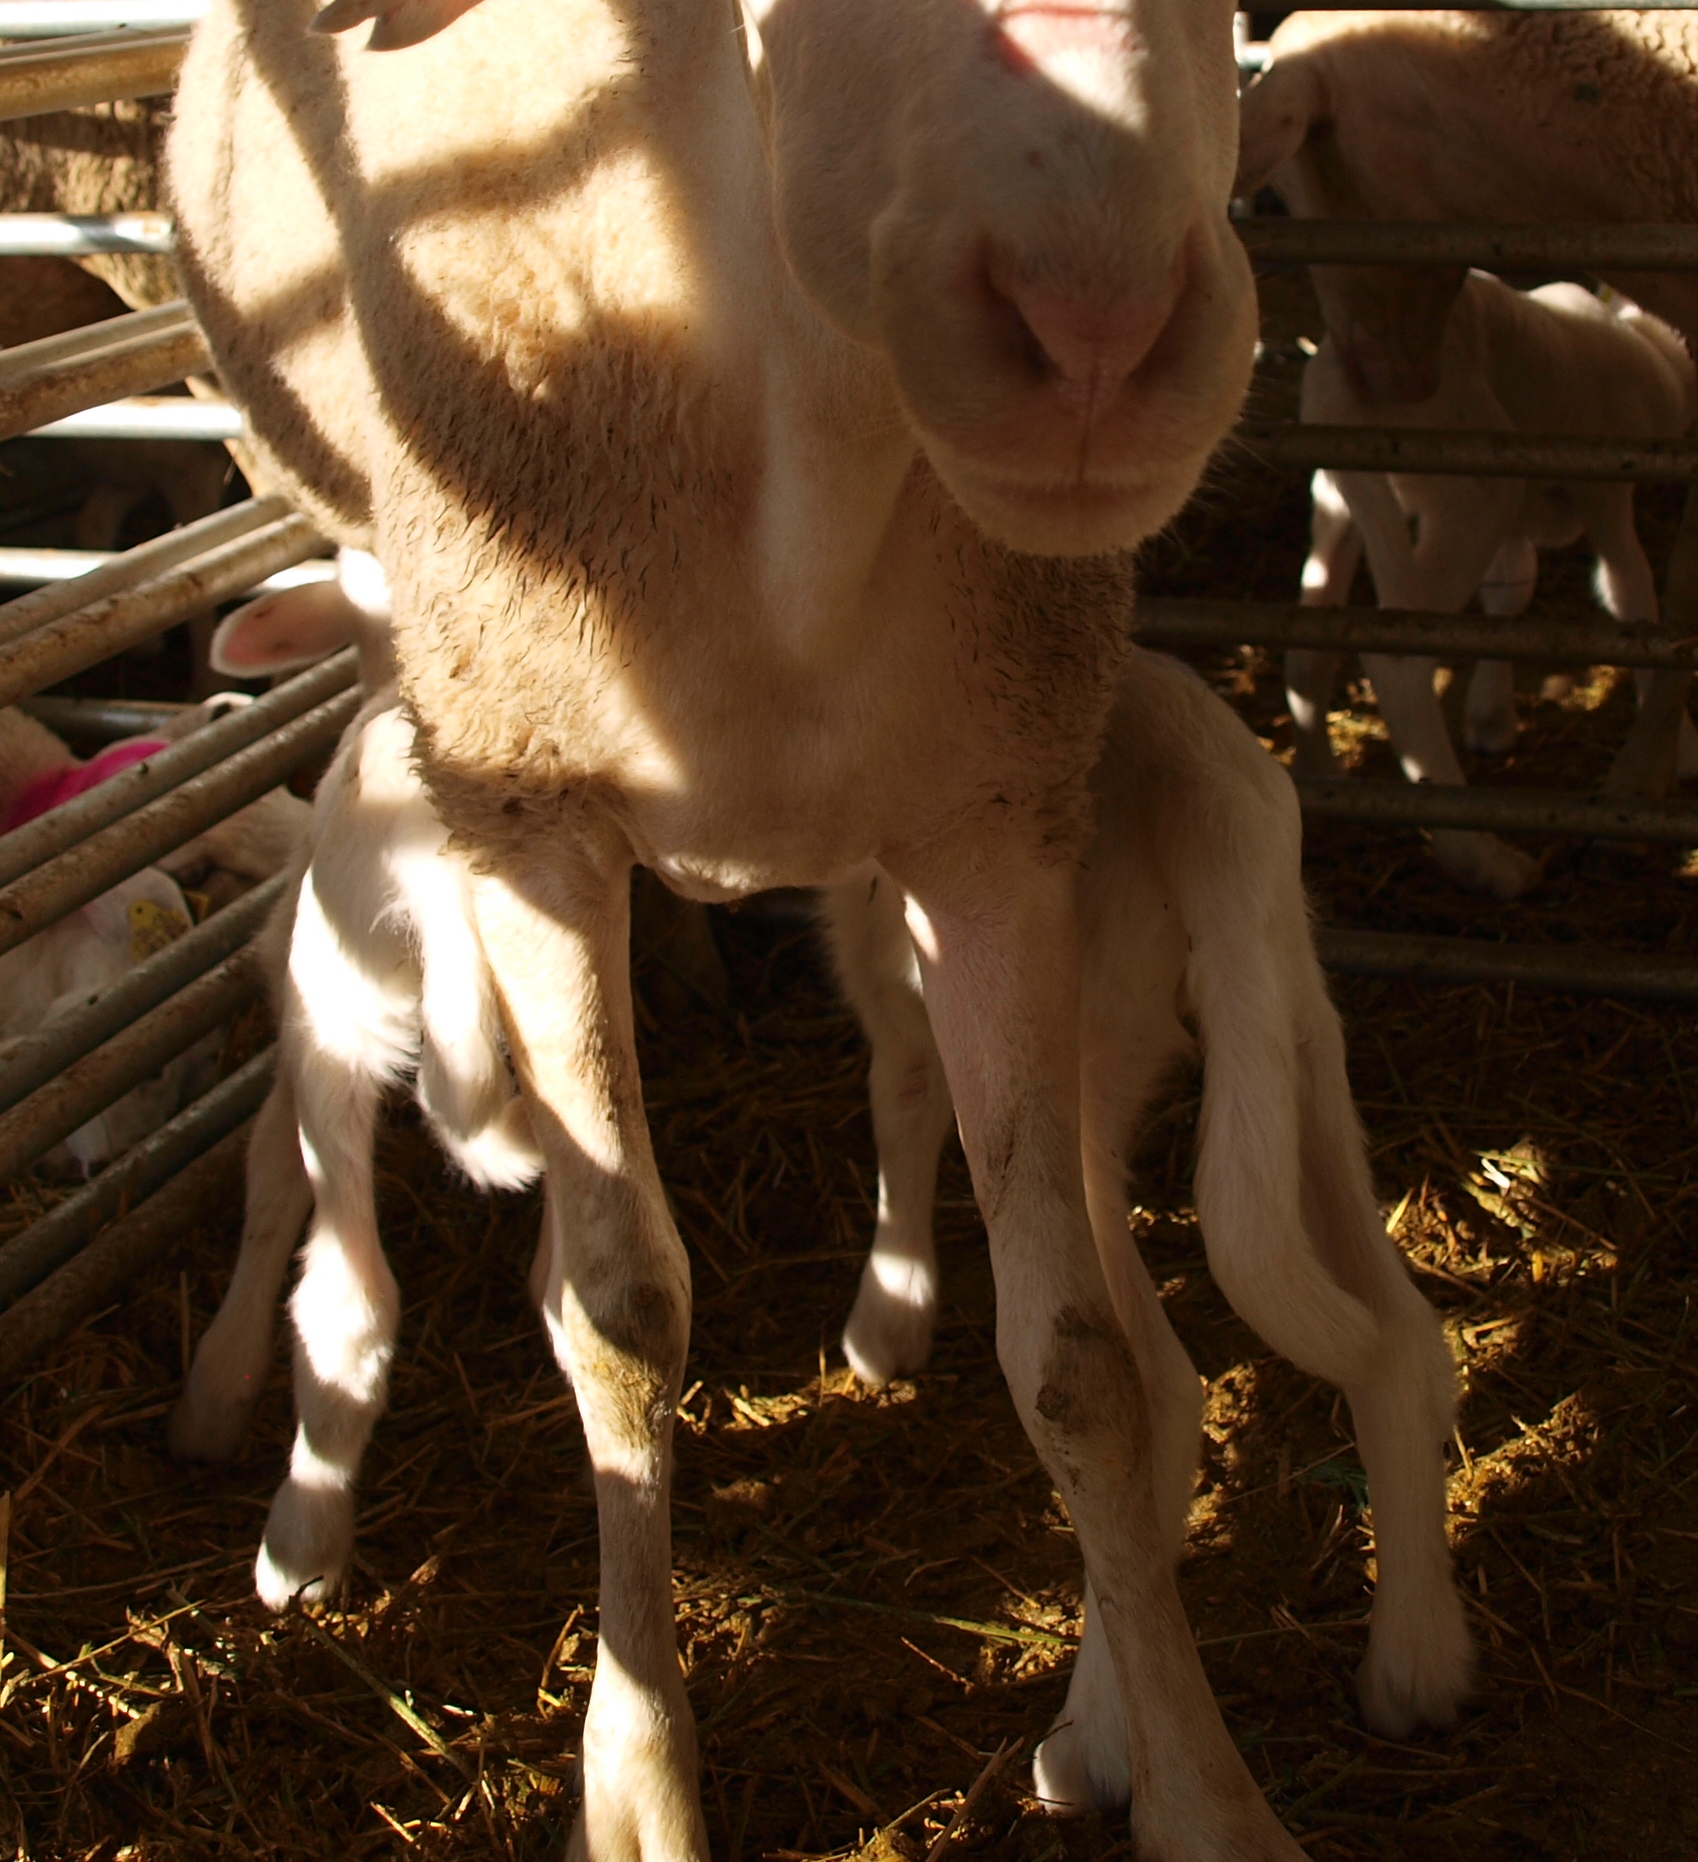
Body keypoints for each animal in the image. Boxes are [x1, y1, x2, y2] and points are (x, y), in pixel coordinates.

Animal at [830, 647, 1467, 1794]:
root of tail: (1195, 789)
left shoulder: (882, 938)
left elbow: (897, 1087)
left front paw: (887, 1315)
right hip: (1290, 1022)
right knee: (1398, 1334)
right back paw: (1417, 1659)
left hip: (1078, 1063)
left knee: (1152, 1387)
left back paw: (1095, 1742)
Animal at [1288, 273, 1698, 901]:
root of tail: (1341, 381)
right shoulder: (1607, 487)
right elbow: (1633, 597)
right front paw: (1682, 749)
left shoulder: (1518, 525)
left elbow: (1508, 596)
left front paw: (1491, 720)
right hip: (1472, 489)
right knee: (1393, 658)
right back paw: (1481, 858)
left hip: (1342, 494)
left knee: (1312, 637)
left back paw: (1324, 779)